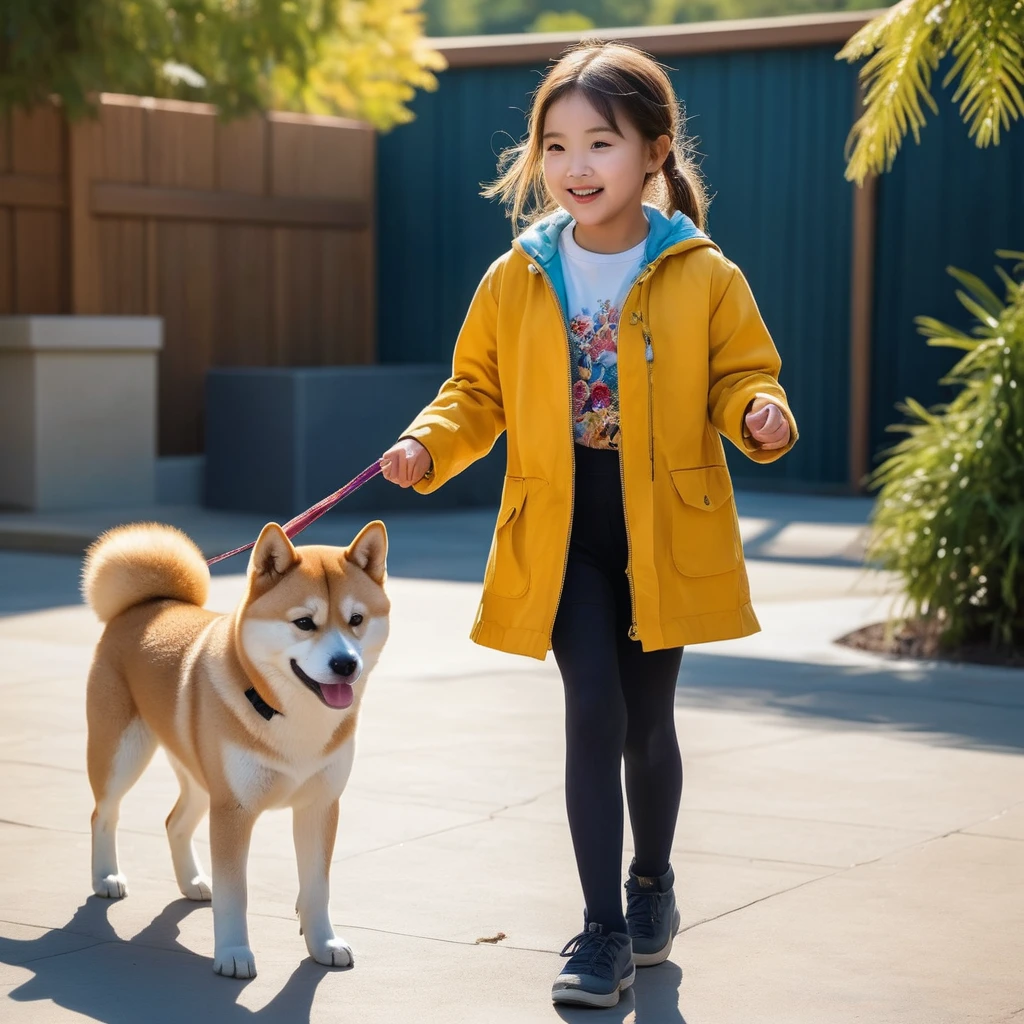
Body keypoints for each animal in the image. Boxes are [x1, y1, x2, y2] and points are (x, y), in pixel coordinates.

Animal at [79, 520, 389, 974]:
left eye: (356, 619)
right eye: (304, 623)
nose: (345, 663)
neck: (286, 713)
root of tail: (147, 605)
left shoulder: (319, 805)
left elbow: (317, 888)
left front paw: (323, 944)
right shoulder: (233, 810)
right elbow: (235, 894)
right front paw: (233, 954)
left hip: (199, 774)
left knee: (174, 822)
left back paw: (191, 882)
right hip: (122, 754)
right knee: (104, 813)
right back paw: (105, 877)